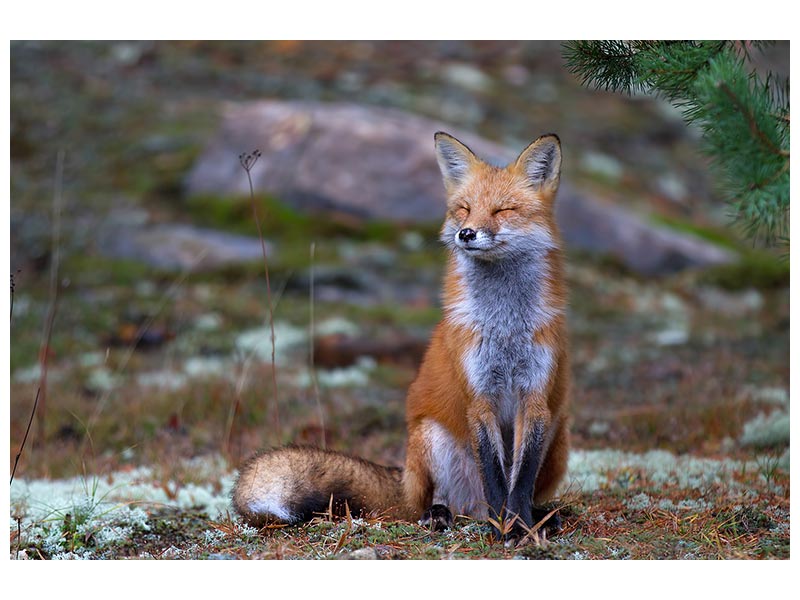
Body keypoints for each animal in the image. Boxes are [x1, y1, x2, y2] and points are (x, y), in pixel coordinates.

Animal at [233, 131, 570, 541]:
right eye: (464, 209)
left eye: (502, 210)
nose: (466, 233)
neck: (504, 325)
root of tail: (405, 480)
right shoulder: (479, 396)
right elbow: (495, 475)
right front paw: (503, 527)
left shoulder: (535, 397)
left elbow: (518, 481)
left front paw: (520, 526)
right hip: (430, 437)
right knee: (439, 501)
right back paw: (444, 515)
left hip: (558, 433)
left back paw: (542, 514)